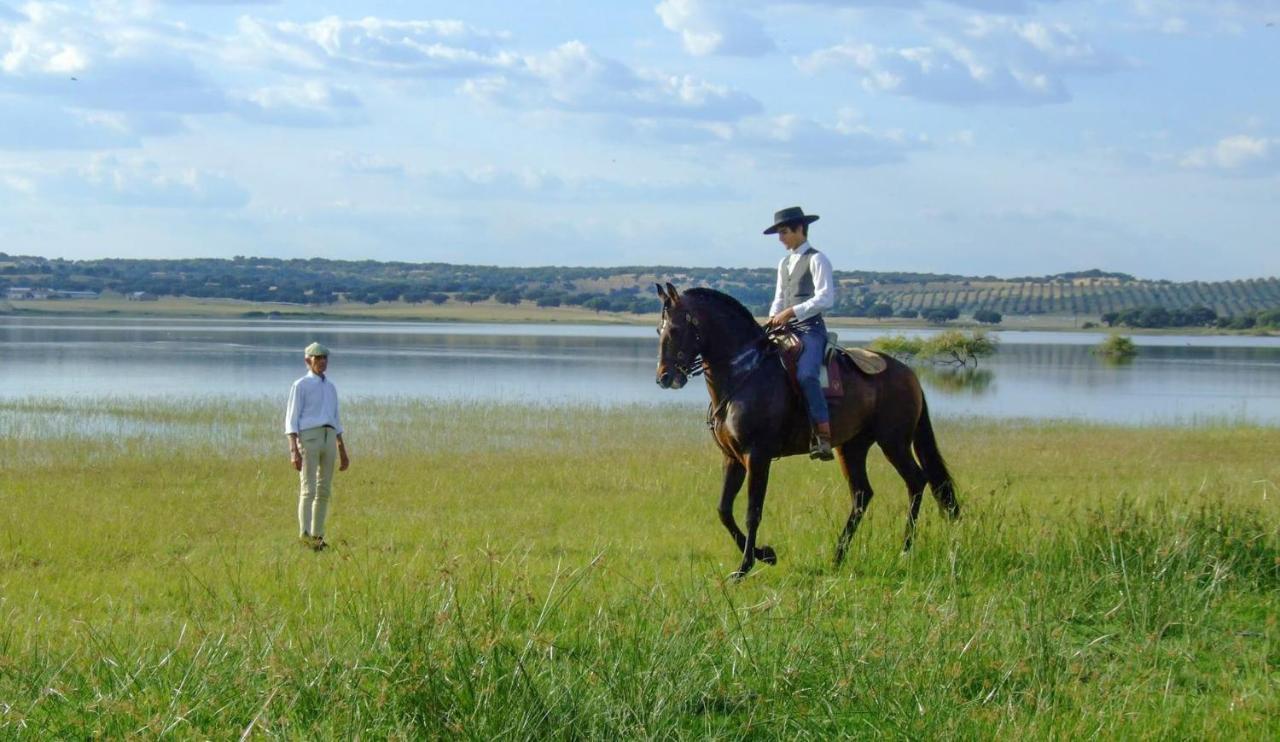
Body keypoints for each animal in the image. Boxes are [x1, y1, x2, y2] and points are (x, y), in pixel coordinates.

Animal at [655, 284, 957, 580]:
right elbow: (724, 510)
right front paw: (766, 555)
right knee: (862, 494)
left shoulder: (757, 456)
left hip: (893, 442)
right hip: (852, 447)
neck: (743, 374)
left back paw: (905, 549)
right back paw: (838, 556)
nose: (664, 378)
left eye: (676, 329)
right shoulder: (732, 457)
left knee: (916, 481)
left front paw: (746, 566)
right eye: (660, 330)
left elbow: (752, 511)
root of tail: (909, 373)